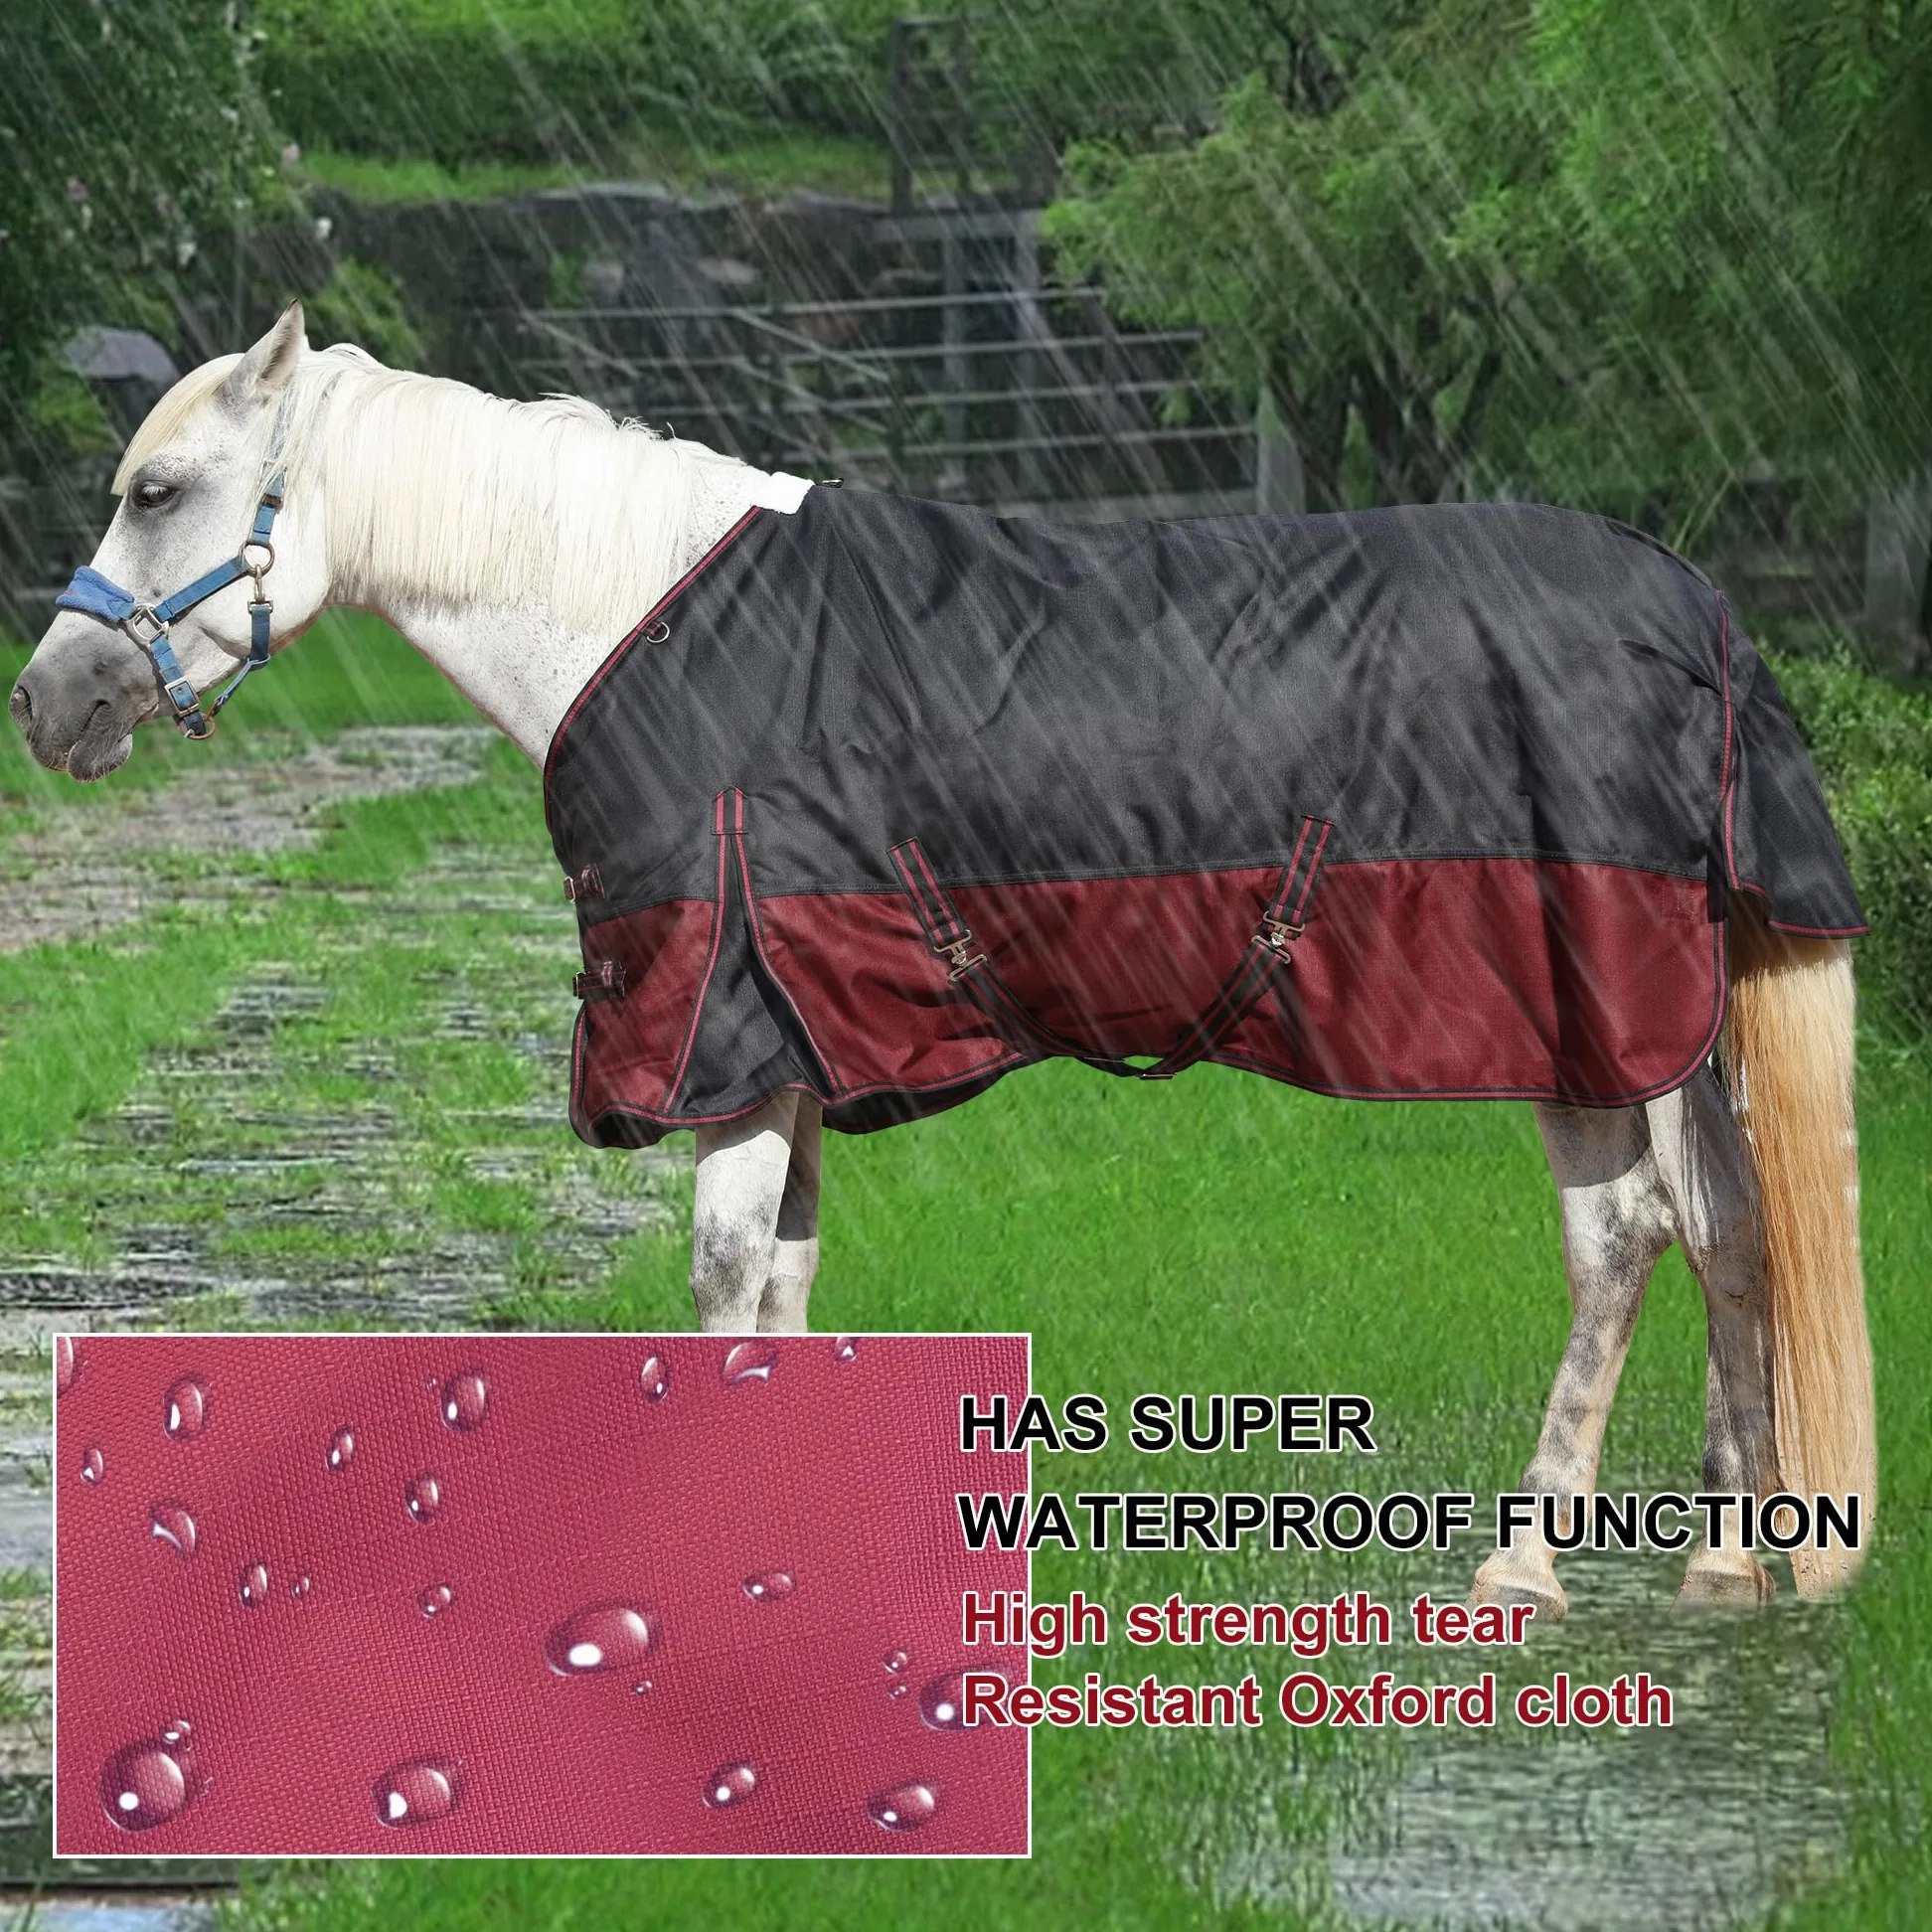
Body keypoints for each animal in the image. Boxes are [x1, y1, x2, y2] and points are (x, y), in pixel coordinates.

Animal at [11, 305, 1874, 1617]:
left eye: (157, 491)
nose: (46, 705)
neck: (630, 613)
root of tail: (1698, 617)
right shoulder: (796, 1054)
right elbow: (782, 1289)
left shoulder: (726, 1042)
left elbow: (718, 1284)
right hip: (1650, 1027)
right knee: (1720, 1229)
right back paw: (1727, 1555)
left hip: (1578, 1015)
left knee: (1624, 1239)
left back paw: (1527, 1560)